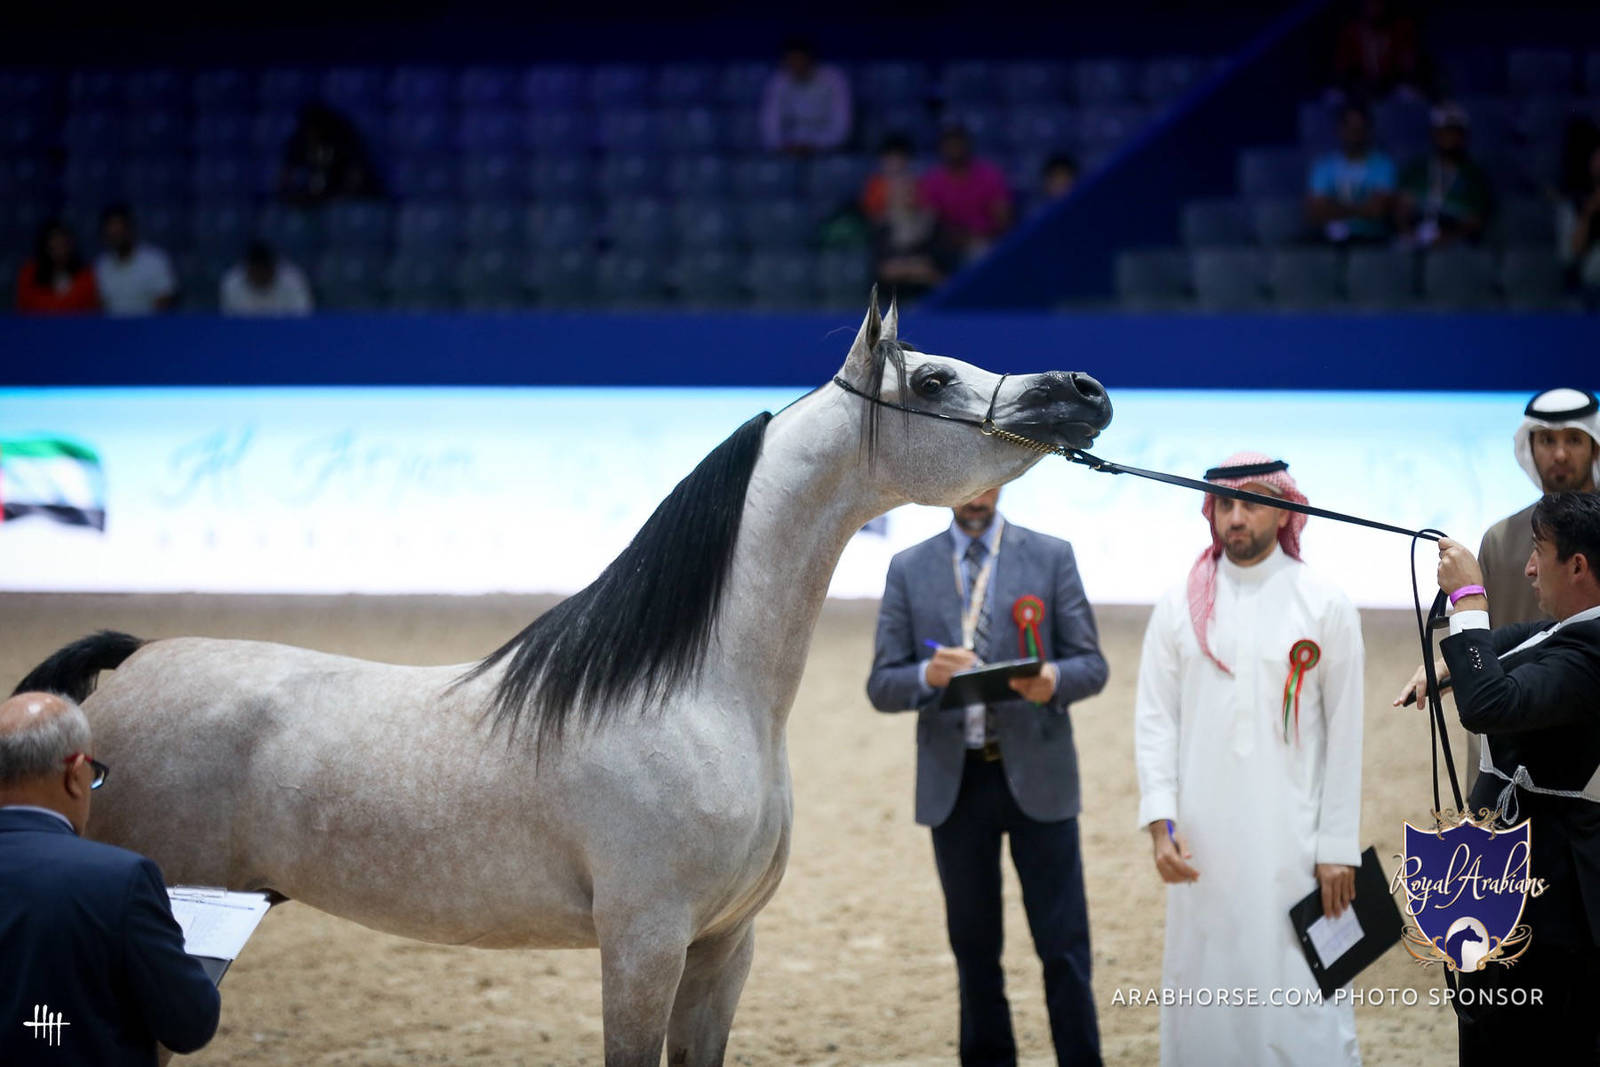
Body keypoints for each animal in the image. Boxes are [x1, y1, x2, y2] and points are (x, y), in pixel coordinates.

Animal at [14, 293, 1112, 1066]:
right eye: (929, 379)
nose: (1085, 390)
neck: (703, 694)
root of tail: (130, 663)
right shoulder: (643, 944)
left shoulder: (723, 948)